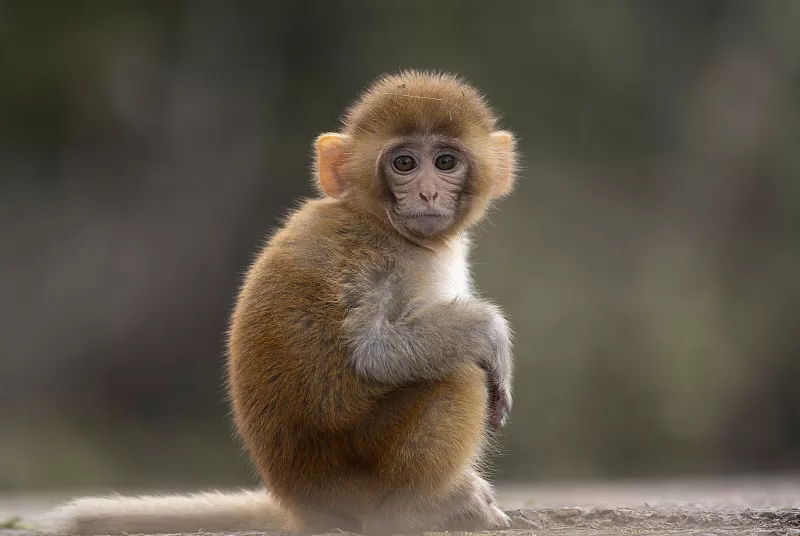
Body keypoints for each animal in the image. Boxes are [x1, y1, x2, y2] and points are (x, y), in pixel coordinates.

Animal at [43, 70, 519, 535]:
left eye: (445, 162)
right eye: (404, 163)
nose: (426, 194)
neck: (376, 220)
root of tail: (299, 507)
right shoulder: (370, 260)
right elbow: (373, 353)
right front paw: (490, 331)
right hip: (360, 481)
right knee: (460, 375)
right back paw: (418, 511)